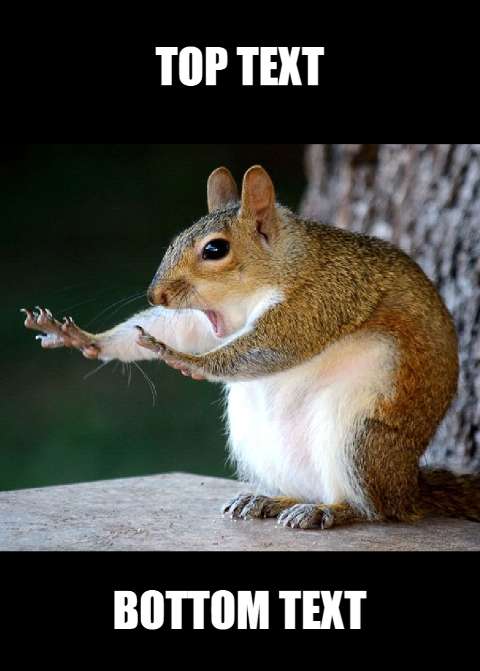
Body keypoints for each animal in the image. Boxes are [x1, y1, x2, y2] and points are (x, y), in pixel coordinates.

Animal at [22, 165, 480, 530]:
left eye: (215, 249)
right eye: (175, 239)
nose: (157, 295)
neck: (285, 264)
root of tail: (408, 488)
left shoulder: (322, 298)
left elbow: (274, 345)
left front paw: (186, 360)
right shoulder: (207, 319)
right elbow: (180, 327)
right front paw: (85, 338)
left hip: (360, 437)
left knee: (374, 509)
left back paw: (330, 511)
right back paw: (270, 499)